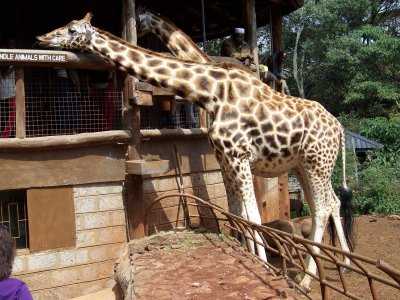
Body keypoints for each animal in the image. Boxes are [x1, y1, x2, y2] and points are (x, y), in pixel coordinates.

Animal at [35, 12, 354, 290]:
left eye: (72, 30)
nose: (41, 38)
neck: (210, 92)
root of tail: (339, 127)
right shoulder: (225, 159)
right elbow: (236, 212)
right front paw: (245, 254)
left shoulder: (239, 157)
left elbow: (252, 215)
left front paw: (263, 266)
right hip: (303, 165)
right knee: (328, 204)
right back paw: (343, 264)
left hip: (317, 163)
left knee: (322, 208)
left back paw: (308, 279)